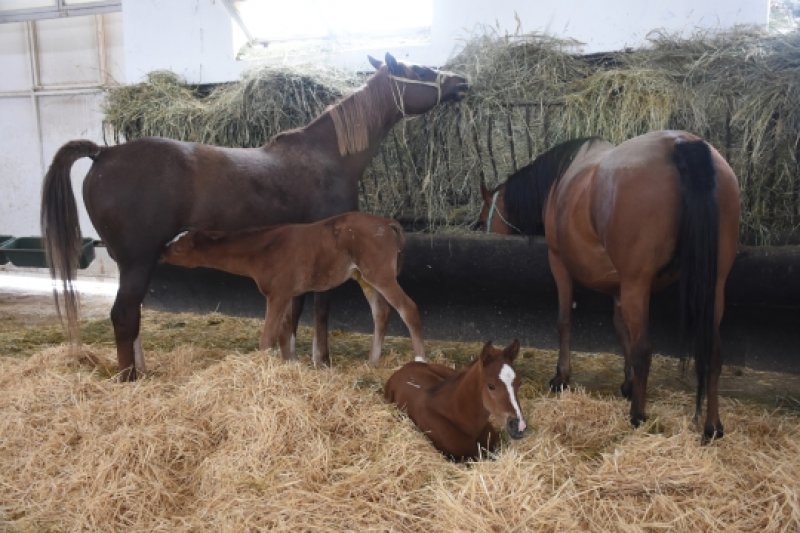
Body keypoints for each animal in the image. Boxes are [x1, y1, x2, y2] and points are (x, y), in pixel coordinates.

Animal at [160, 212, 428, 366]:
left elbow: (268, 336)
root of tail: (387, 222)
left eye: (179, 247)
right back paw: (372, 363)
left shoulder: (277, 294)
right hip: (364, 277)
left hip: (380, 274)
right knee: (381, 313)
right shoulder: (288, 293)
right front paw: (289, 365)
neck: (264, 249)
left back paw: (420, 358)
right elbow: (285, 331)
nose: (161, 252)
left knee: (408, 308)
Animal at [478, 131, 740, 442]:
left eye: (482, 220)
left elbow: (565, 321)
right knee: (713, 351)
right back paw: (713, 426)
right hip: (715, 287)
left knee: (644, 349)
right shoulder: (619, 287)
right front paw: (628, 384)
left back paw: (638, 415)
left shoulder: (560, 264)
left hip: (638, 283)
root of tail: (680, 142)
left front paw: (562, 377)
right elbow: (621, 329)